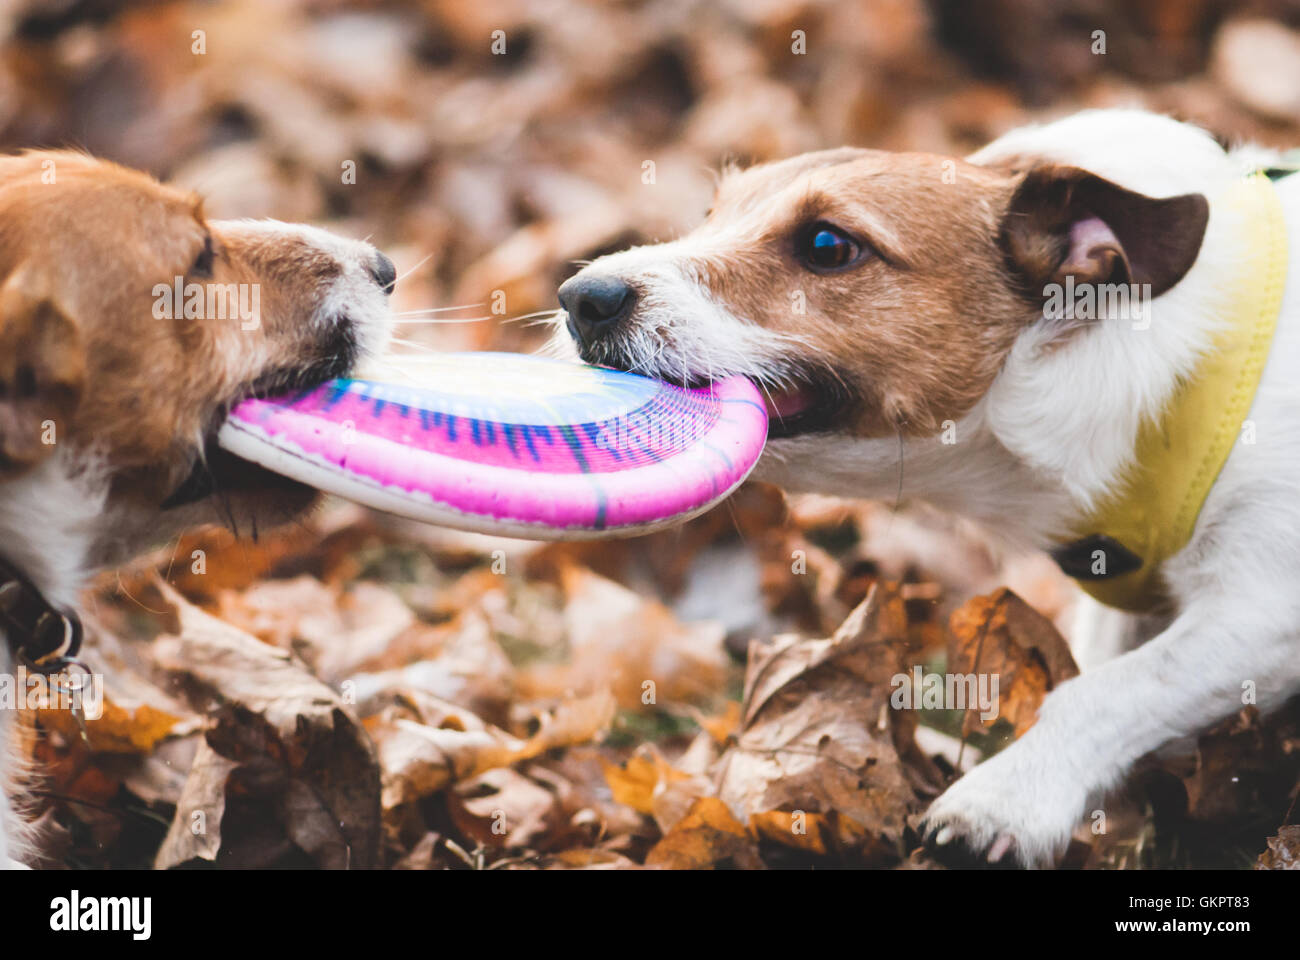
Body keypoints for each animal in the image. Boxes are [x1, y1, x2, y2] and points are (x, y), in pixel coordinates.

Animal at [553, 108, 1300, 863]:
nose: (583, 298)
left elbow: (1112, 691)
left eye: (827, 245)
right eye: (712, 214)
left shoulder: (1260, 607)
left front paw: (1001, 801)